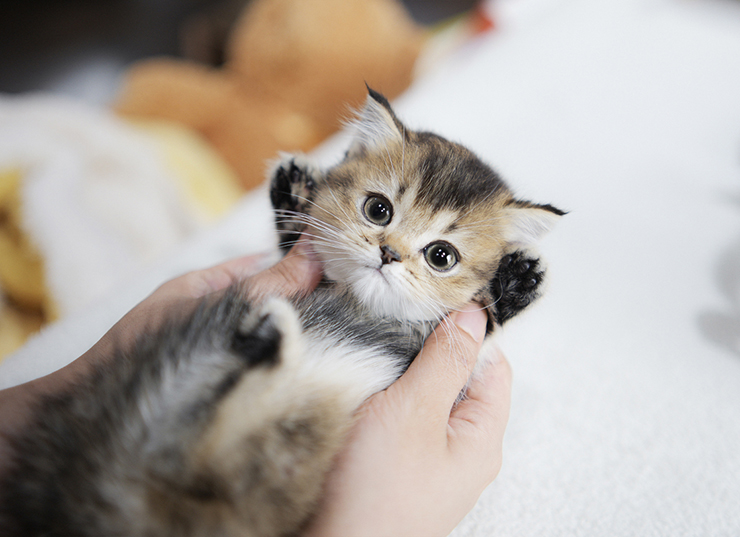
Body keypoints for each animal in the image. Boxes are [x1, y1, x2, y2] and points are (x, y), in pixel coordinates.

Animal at [0, 89, 563, 537]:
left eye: (440, 255)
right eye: (378, 209)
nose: (389, 254)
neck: (358, 304)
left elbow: (484, 331)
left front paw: (515, 282)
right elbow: (290, 239)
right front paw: (292, 188)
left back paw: (269, 340)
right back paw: (271, 338)